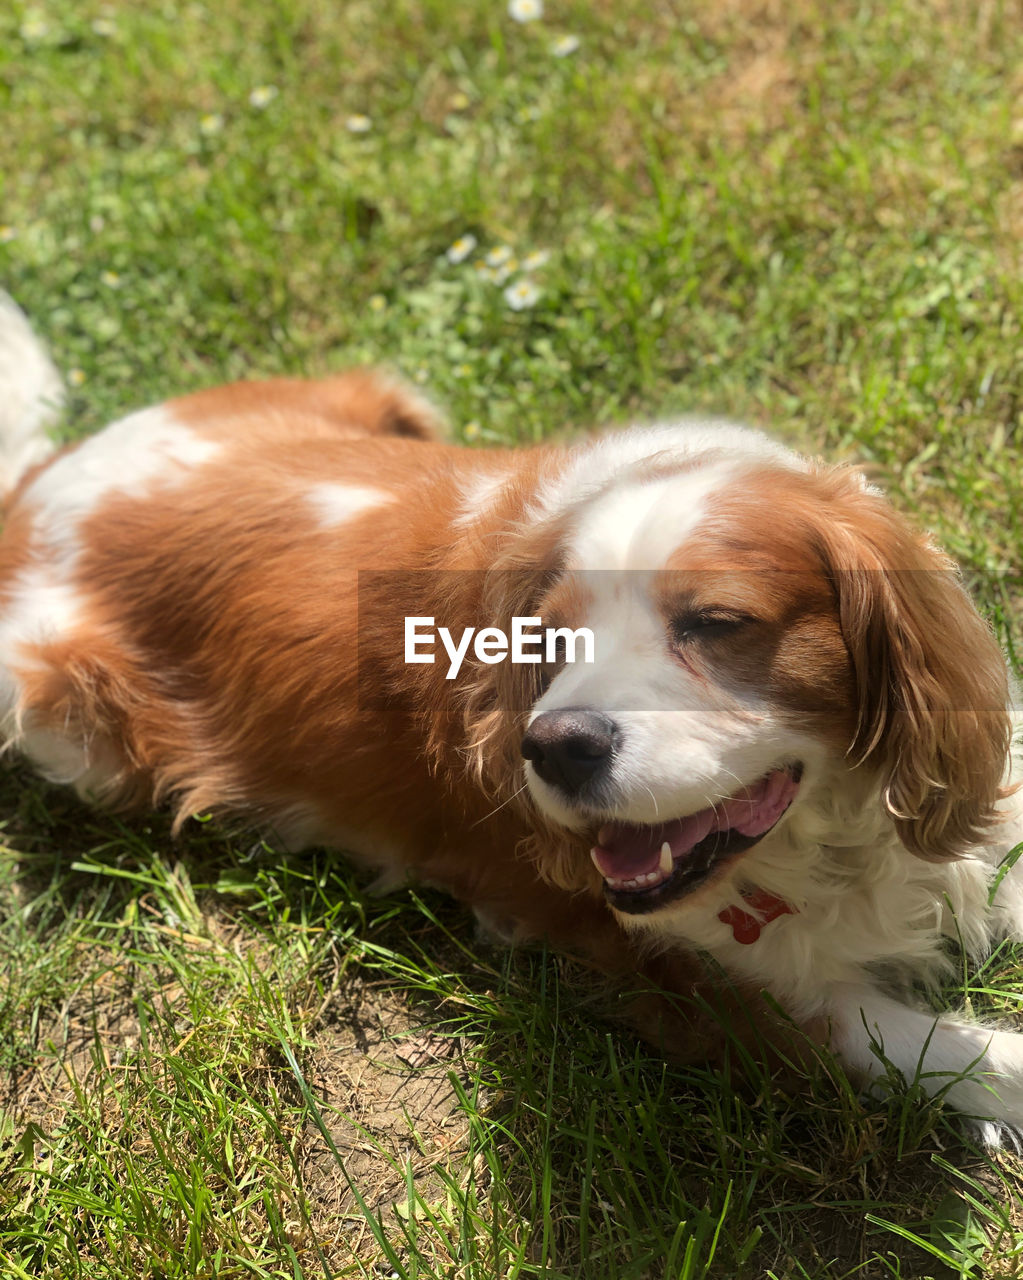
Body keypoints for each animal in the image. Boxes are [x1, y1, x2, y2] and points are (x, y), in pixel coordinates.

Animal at [2, 294, 1023, 1146]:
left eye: (714, 623)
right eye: (546, 639)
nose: (554, 748)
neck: (834, 841)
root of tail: (43, 480)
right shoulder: (734, 996)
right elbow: (977, 1059)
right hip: (61, 712)